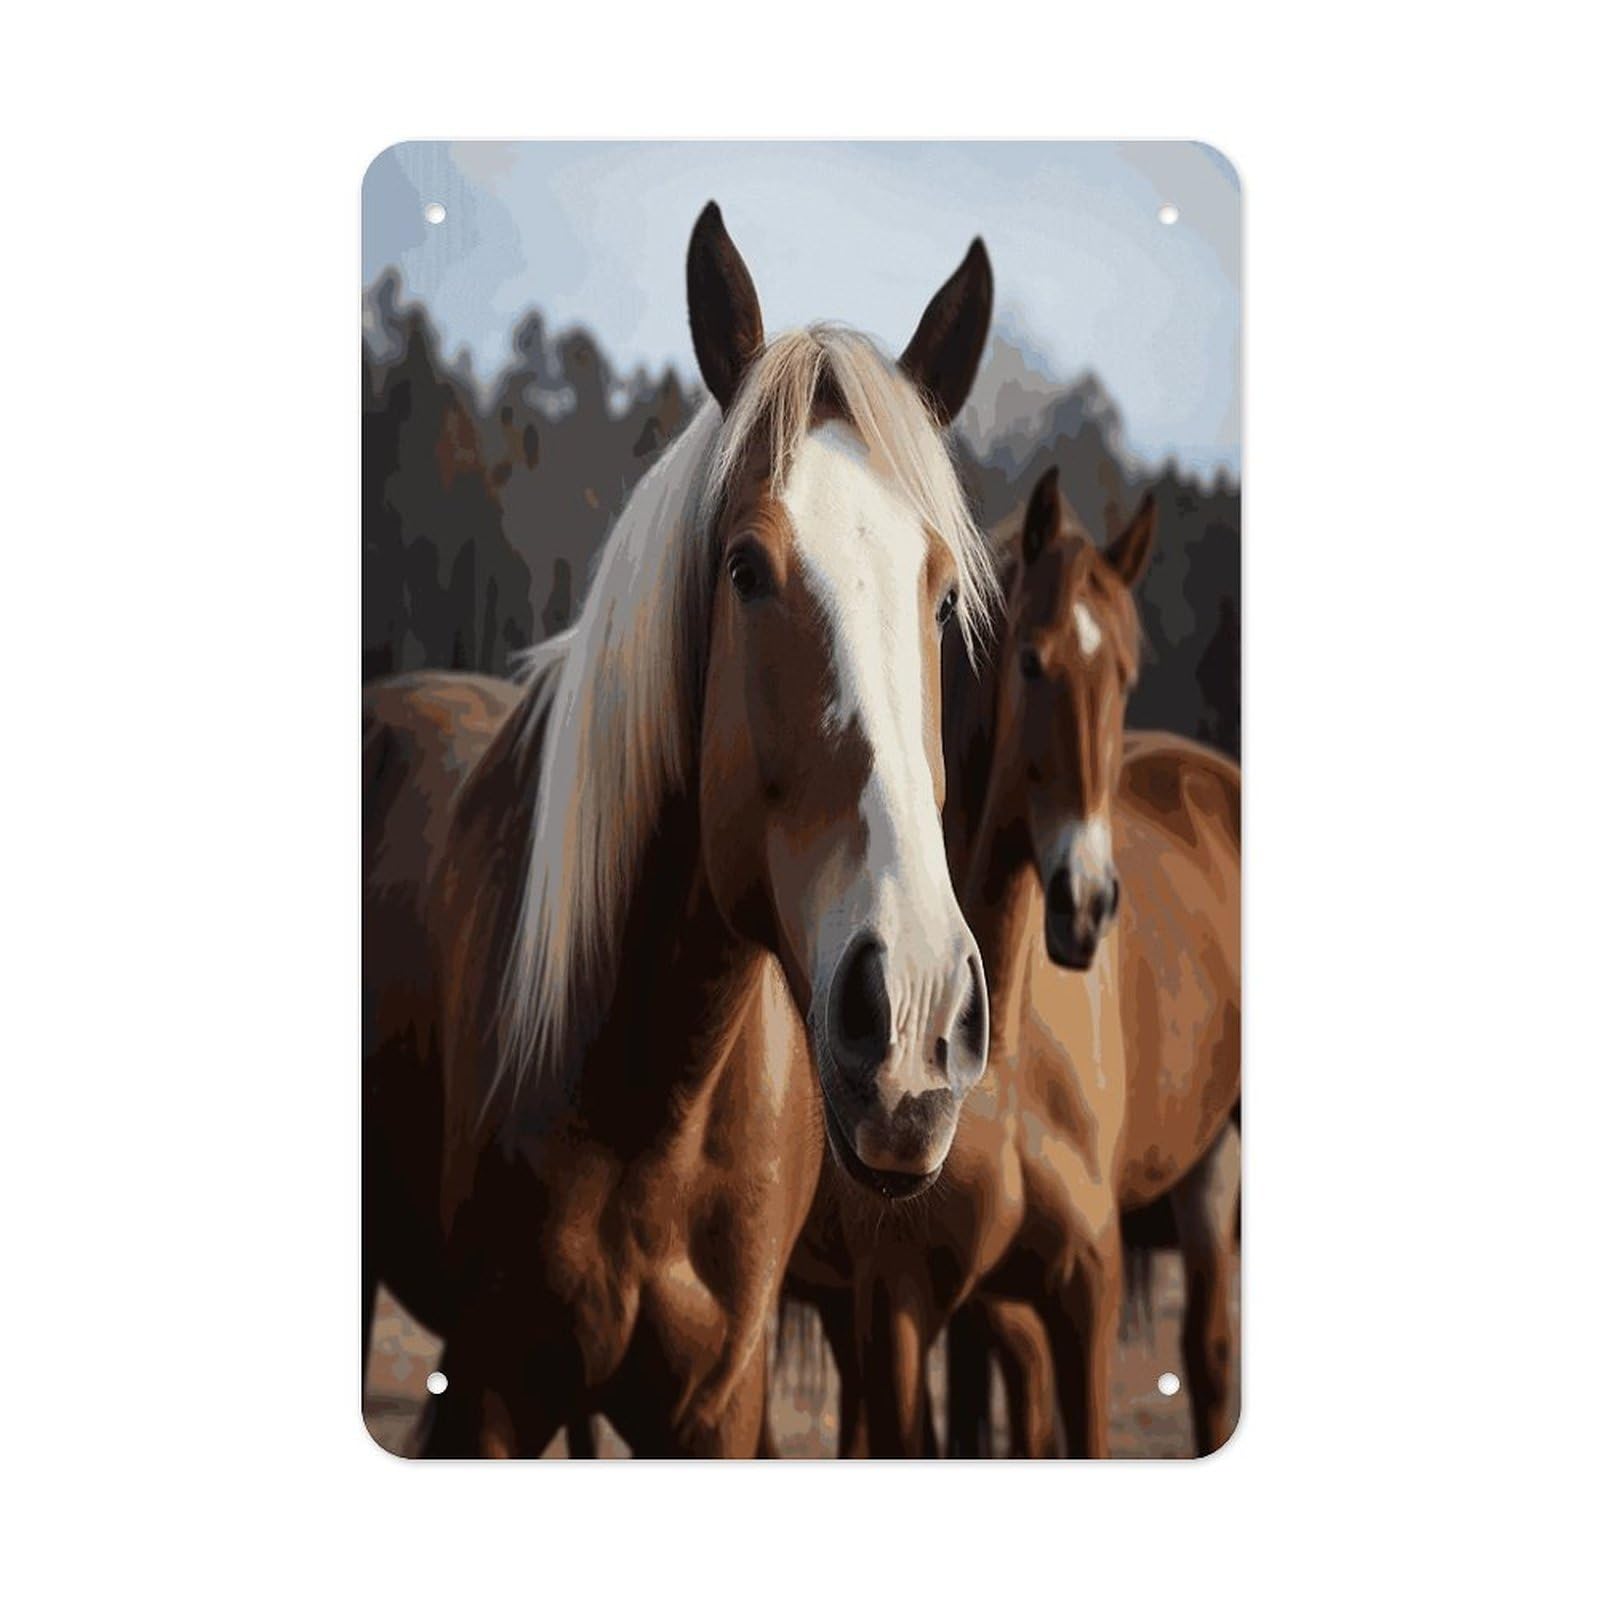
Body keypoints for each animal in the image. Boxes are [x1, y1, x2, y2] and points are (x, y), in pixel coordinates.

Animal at [362, 200, 1000, 1456]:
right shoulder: (483, 1394)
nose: (911, 1013)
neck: (653, 1095)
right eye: (745, 567)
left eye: (943, 593)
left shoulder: (717, 1405)